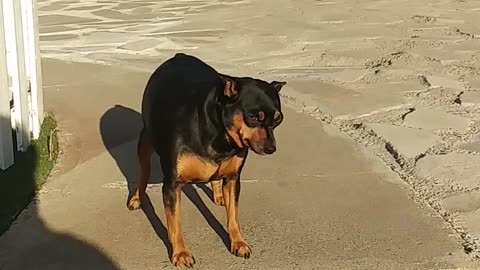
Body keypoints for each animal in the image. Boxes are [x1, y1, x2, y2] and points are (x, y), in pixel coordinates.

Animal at [126, 53, 284, 268]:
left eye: (278, 119)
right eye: (252, 117)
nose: (271, 148)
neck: (220, 134)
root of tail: (179, 55)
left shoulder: (233, 179)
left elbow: (233, 216)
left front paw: (238, 242)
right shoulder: (172, 185)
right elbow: (175, 223)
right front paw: (180, 253)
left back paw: (218, 194)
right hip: (146, 139)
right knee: (143, 171)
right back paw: (136, 198)